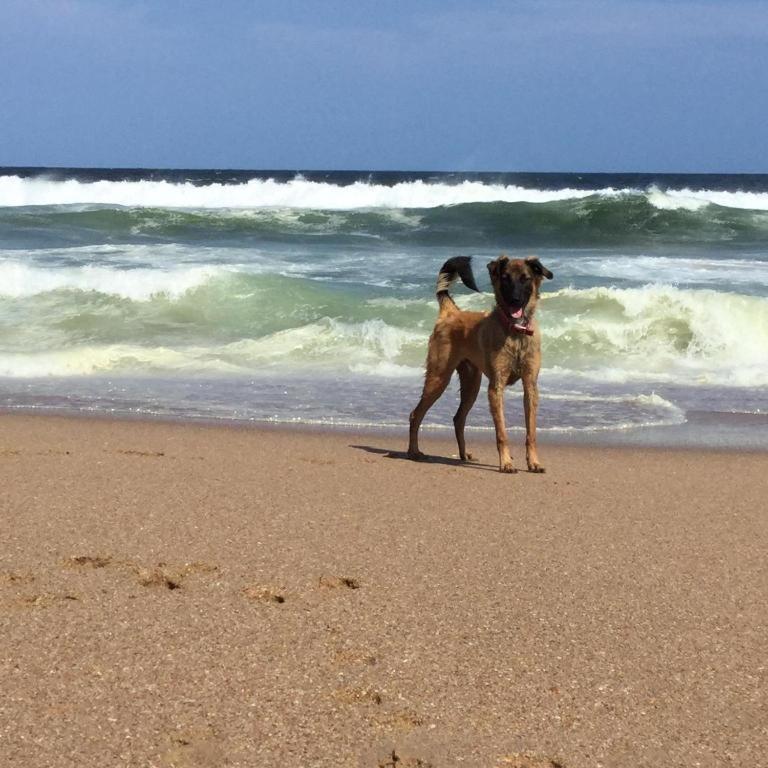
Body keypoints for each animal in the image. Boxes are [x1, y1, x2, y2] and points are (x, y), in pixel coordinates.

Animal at [408, 256, 552, 474]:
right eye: (505, 278)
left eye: (525, 279)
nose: (514, 300)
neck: (515, 333)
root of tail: (451, 312)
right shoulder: (496, 387)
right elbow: (501, 432)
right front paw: (506, 462)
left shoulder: (530, 386)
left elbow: (531, 432)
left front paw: (533, 462)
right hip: (438, 378)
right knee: (415, 414)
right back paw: (413, 451)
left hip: (471, 384)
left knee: (458, 418)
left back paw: (463, 455)